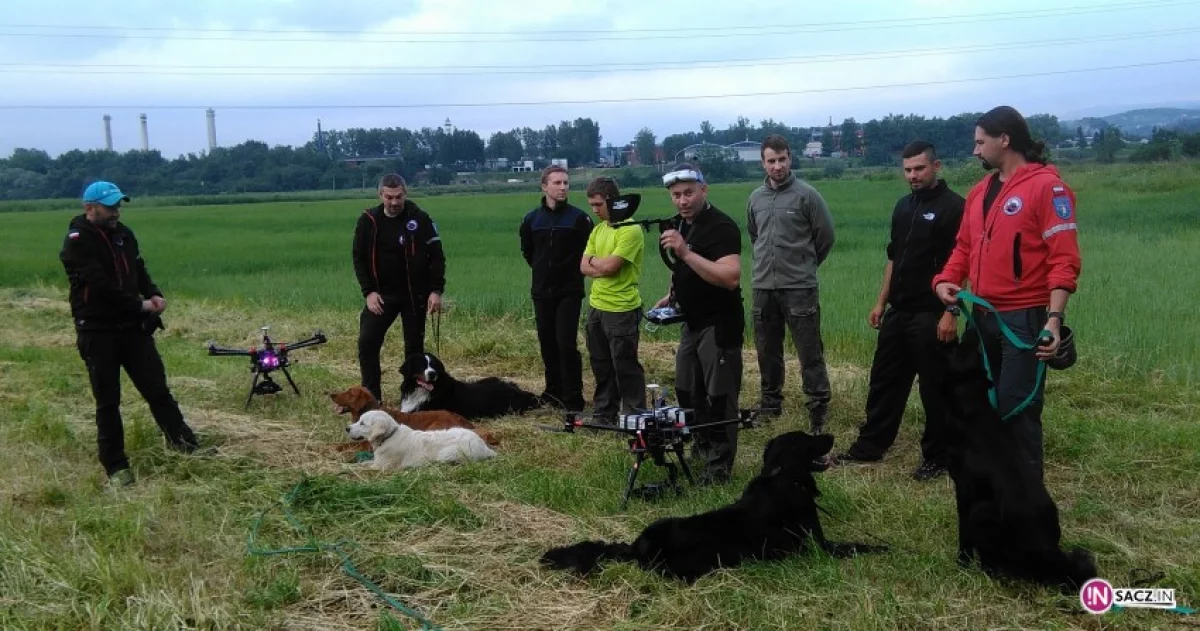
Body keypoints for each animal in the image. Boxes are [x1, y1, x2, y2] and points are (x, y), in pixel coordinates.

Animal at [540, 429, 888, 583]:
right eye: (811, 438)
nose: (830, 435)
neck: (783, 475)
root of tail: (635, 546)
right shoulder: (818, 546)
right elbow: (855, 546)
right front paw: (885, 548)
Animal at [940, 328, 1099, 597]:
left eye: (964, 347)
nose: (972, 329)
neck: (976, 404)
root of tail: (1047, 551)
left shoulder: (964, 489)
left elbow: (963, 534)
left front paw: (962, 562)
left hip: (982, 511)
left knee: (992, 562)